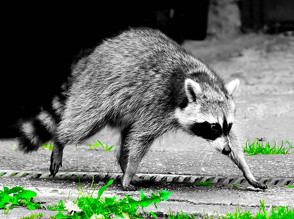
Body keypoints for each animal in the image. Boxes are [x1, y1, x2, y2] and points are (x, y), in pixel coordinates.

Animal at [17, 28, 266, 190]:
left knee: (127, 133)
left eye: (225, 125)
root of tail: (90, 57)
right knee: (82, 124)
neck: (199, 78)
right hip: (97, 92)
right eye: (212, 127)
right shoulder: (156, 104)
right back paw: (60, 141)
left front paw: (245, 167)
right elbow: (141, 138)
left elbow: (234, 139)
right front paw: (130, 171)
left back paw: (122, 163)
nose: (225, 151)